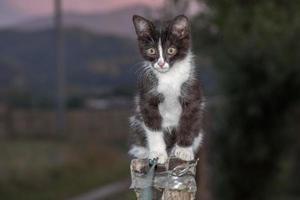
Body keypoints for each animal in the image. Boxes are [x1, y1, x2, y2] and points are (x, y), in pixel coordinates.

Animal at [127, 14, 205, 164]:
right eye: (151, 51)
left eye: (171, 50)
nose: (161, 63)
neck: (169, 77)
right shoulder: (147, 96)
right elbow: (152, 126)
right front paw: (157, 153)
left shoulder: (192, 93)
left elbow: (188, 121)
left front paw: (184, 150)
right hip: (136, 120)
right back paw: (144, 152)